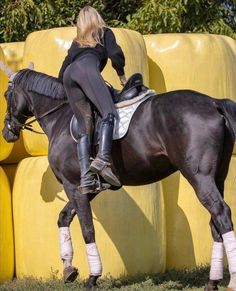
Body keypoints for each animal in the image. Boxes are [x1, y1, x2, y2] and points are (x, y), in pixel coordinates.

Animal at [1, 66, 236, 291]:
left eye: (6, 95)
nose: (7, 132)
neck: (61, 118)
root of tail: (214, 103)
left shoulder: (73, 186)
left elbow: (87, 228)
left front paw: (92, 277)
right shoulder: (89, 189)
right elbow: (64, 217)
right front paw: (68, 269)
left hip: (199, 177)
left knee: (221, 213)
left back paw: (230, 282)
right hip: (218, 178)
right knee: (215, 223)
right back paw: (212, 281)